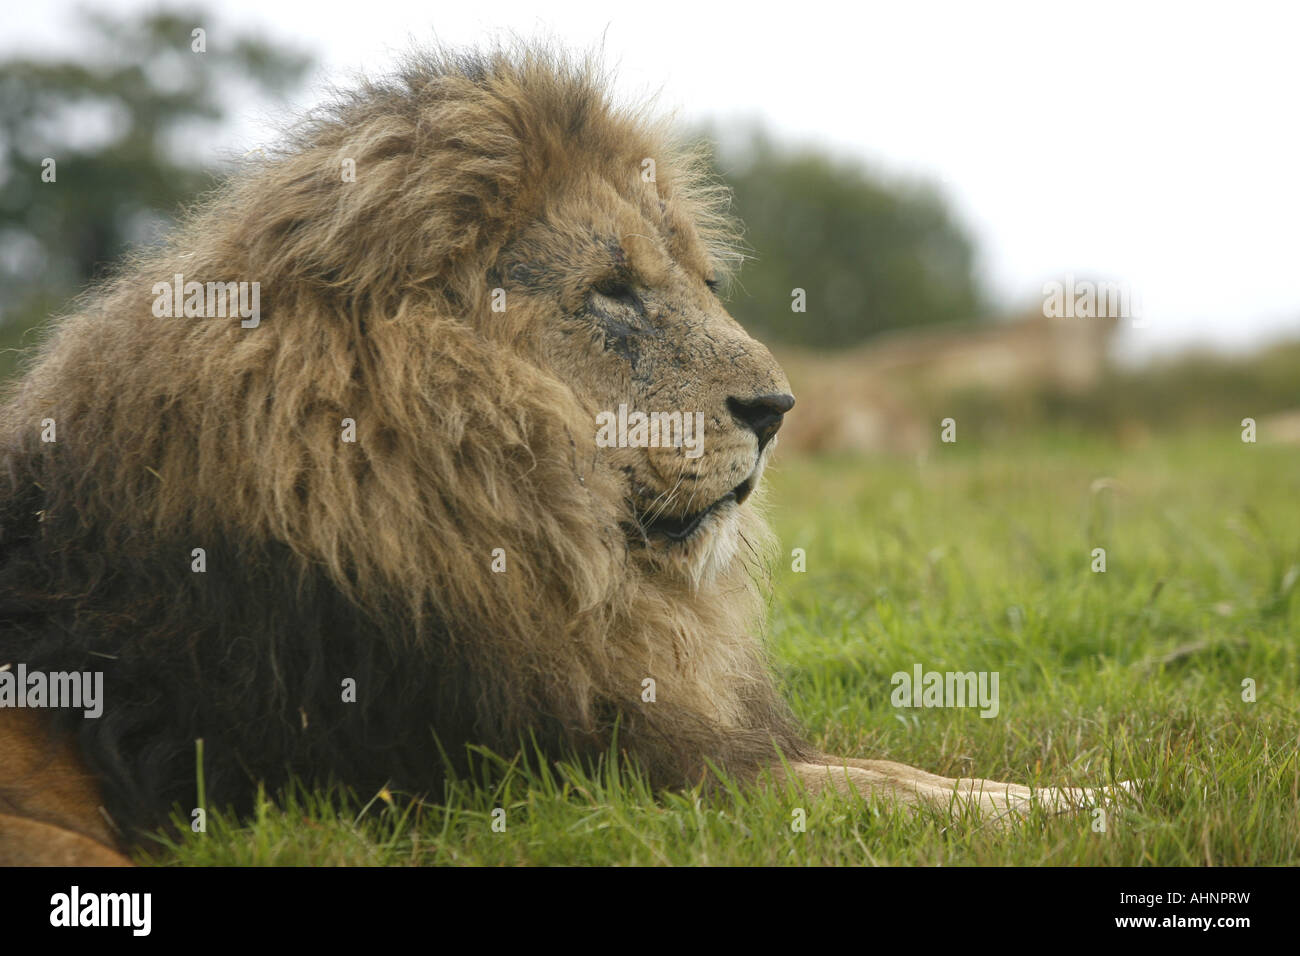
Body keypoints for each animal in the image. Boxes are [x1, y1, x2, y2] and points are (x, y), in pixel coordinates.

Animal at [0, 44, 1118, 868]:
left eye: (704, 283)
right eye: (611, 291)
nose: (779, 408)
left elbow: (902, 773)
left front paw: (1084, 787)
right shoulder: (562, 788)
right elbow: (864, 794)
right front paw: (1081, 805)